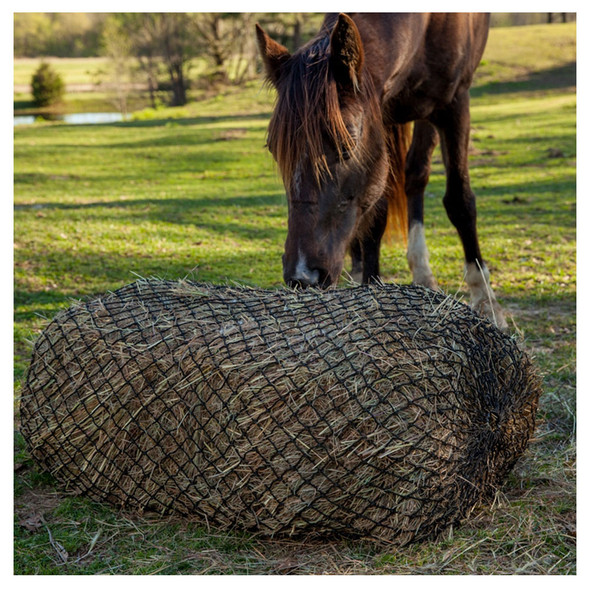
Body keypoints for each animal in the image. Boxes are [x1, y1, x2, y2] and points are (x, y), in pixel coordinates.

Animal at [258, 12, 508, 328]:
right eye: (273, 150)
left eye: (346, 145)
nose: (302, 277)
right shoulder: (381, 115)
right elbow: (376, 217)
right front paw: (371, 289)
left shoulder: (455, 104)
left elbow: (460, 202)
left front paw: (486, 300)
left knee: (416, 175)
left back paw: (423, 272)